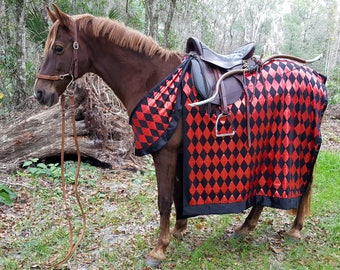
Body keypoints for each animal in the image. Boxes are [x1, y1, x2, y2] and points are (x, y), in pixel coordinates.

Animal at [33, 4, 326, 266]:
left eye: (58, 48)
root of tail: (316, 76)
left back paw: (295, 229)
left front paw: (159, 249)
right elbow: (175, 193)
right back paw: (246, 227)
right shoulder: (177, 153)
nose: (40, 93)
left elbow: (164, 200)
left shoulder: (164, 152)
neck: (151, 77)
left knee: (304, 183)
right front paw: (178, 229)